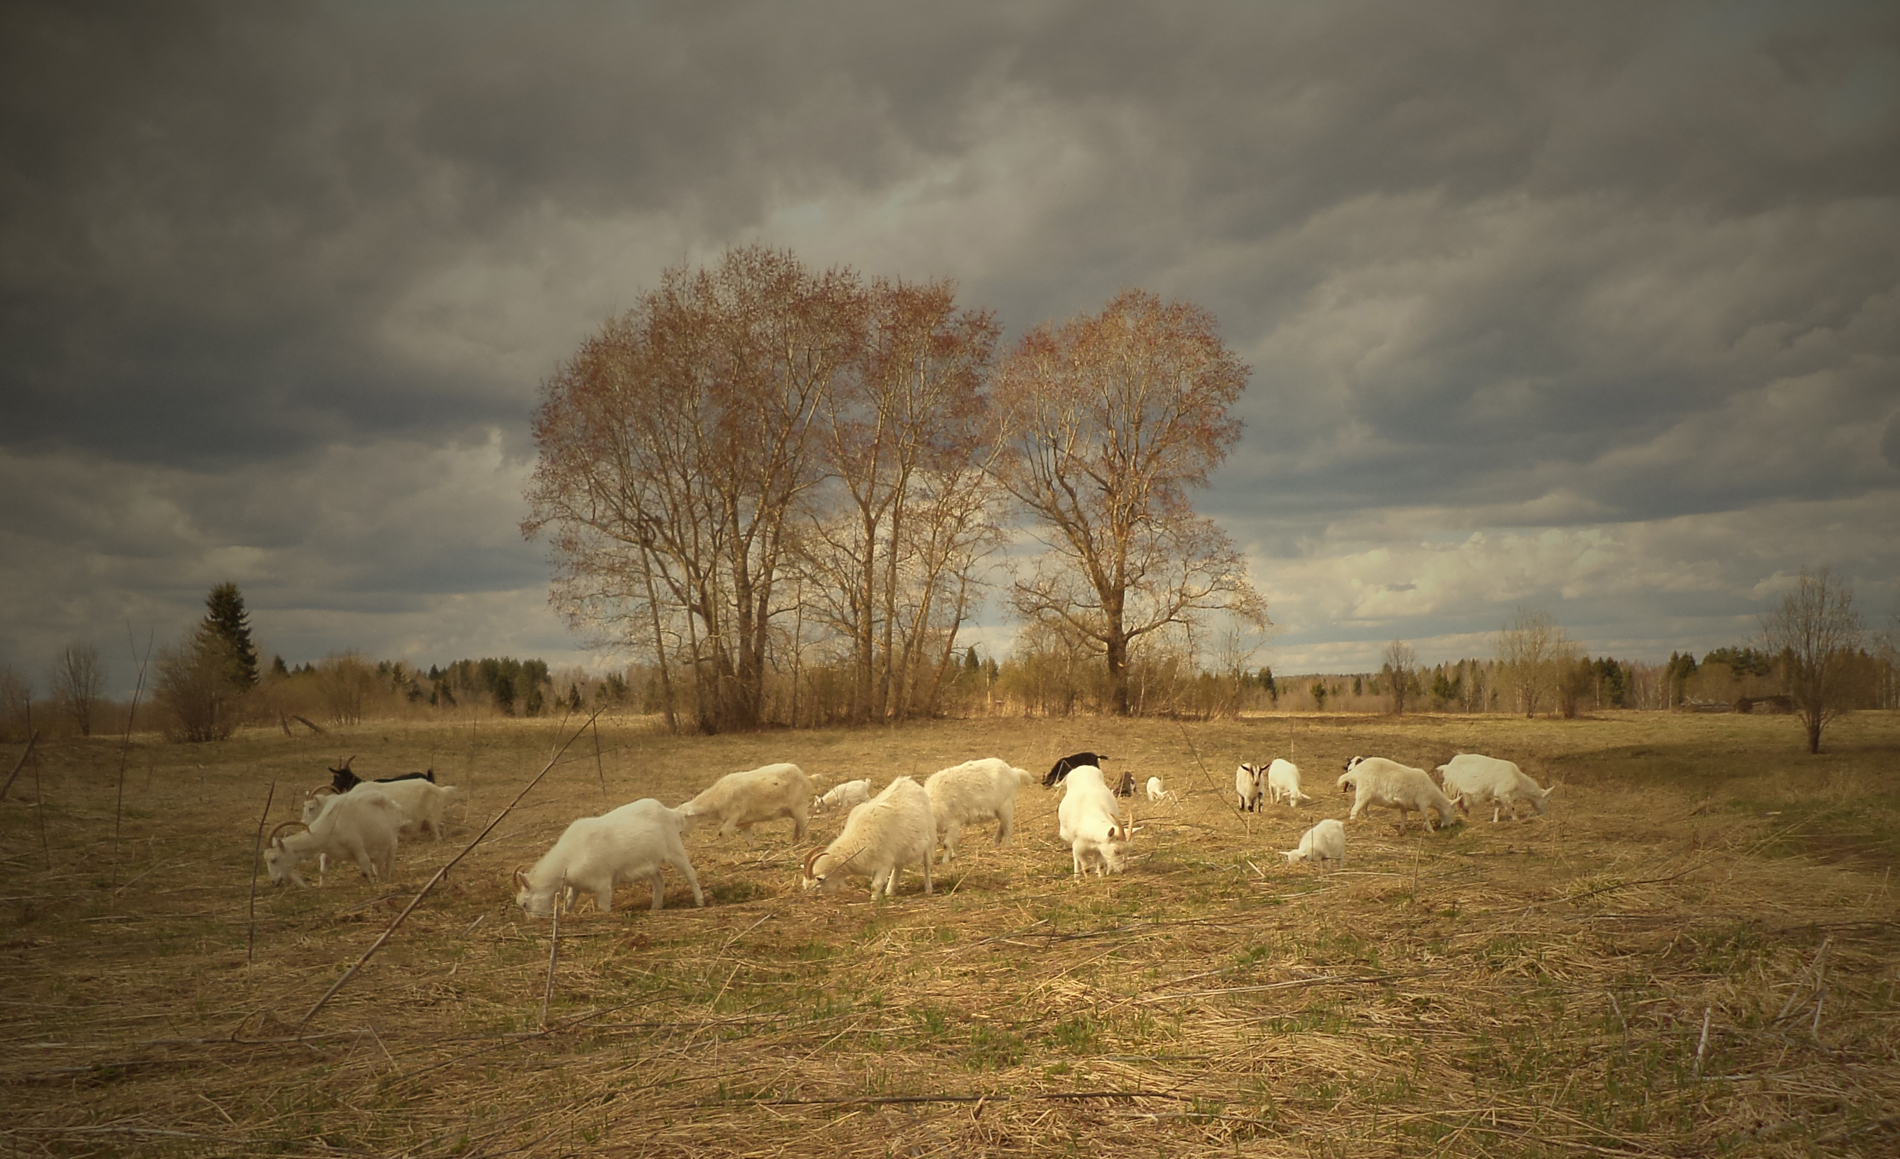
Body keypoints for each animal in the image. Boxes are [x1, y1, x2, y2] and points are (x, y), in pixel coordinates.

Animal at [264, 786, 404, 885]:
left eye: (274, 859)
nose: (274, 882)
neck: (333, 826)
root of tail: (394, 804)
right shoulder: (327, 852)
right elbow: (323, 871)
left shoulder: (357, 848)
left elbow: (365, 870)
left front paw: (373, 886)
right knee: (377, 865)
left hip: (392, 841)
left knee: (389, 862)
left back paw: (387, 880)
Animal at [513, 794, 706, 912]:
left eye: (524, 904)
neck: (569, 856)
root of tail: (670, 813)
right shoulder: (575, 885)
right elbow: (569, 901)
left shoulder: (603, 884)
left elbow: (603, 907)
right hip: (649, 861)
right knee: (659, 880)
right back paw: (655, 907)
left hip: (674, 847)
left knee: (690, 873)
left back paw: (700, 901)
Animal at [680, 760, 813, 839]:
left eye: (684, 819)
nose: (679, 833)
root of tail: (805, 776)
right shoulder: (743, 823)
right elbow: (749, 840)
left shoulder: (734, 815)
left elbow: (722, 833)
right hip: (792, 809)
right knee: (798, 825)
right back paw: (794, 842)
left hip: (799, 805)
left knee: (805, 827)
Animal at [801, 771, 934, 896]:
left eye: (817, 883)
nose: (807, 894)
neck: (856, 840)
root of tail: (908, 781)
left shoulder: (884, 860)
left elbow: (876, 886)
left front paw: (874, 901)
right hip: (901, 848)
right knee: (899, 866)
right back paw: (890, 891)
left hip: (927, 838)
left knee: (926, 864)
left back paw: (928, 889)